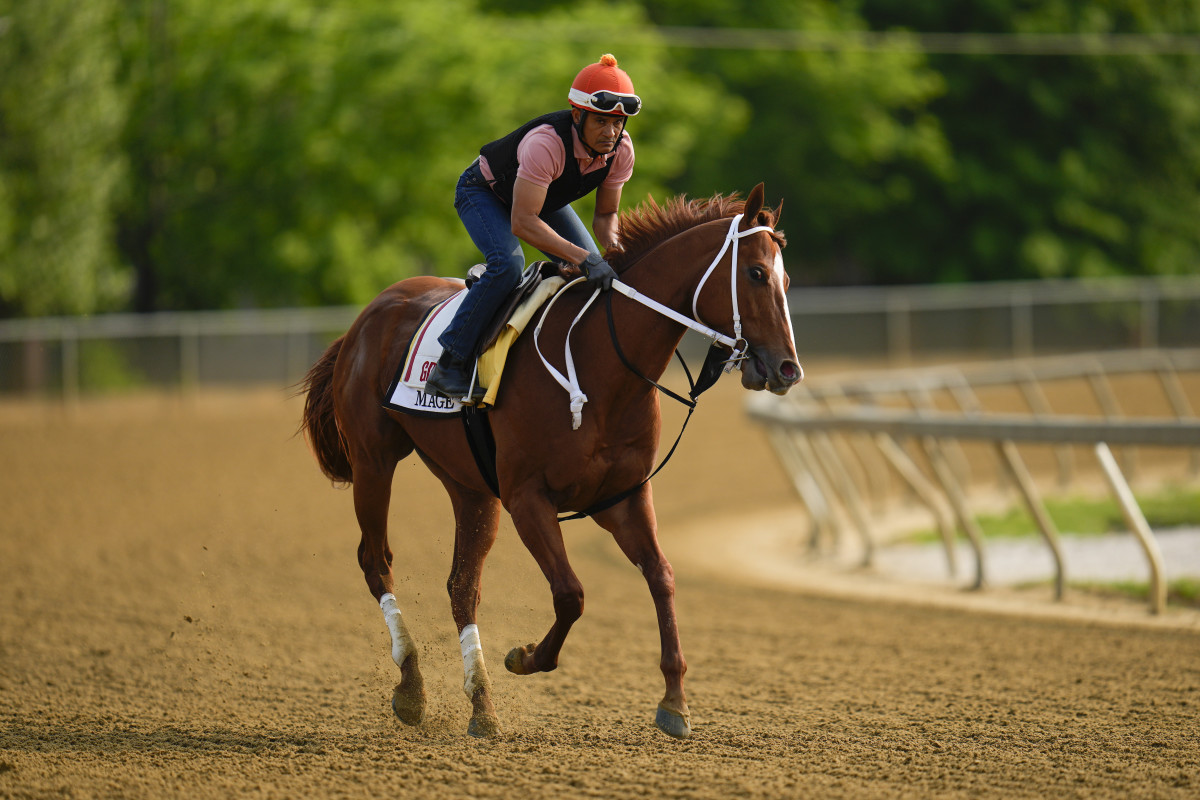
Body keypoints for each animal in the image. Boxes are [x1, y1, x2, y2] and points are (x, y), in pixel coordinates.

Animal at [300, 181, 801, 738]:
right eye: (756, 273)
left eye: (785, 277)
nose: (788, 368)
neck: (600, 362)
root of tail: (367, 315)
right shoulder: (527, 498)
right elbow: (571, 594)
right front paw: (525, 657)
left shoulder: (622, 497)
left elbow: (662, 576)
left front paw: (674, 699)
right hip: (374, 460)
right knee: (376, 562)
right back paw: (412, 687)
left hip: (469, 487)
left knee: (461, 587)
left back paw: (482, 705)